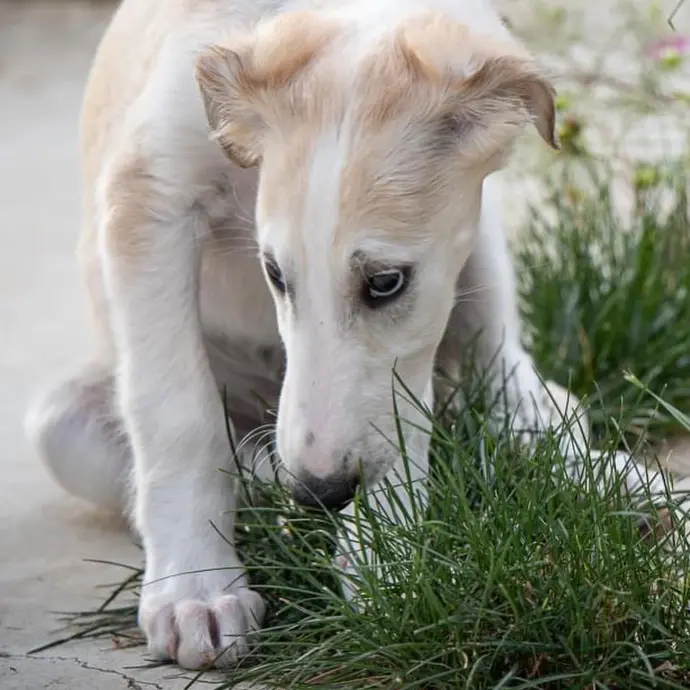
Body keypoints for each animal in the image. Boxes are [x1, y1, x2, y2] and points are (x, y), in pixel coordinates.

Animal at [24, 0, 664, 672]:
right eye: (274, 273)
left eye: (385, 282)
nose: (320, 492)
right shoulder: (150, 195)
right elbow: (178, 415)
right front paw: (195, 589)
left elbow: (408, 413)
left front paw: (388, 559)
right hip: (65, 422)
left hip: (485, 245)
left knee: (511, 384)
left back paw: (602, 474)